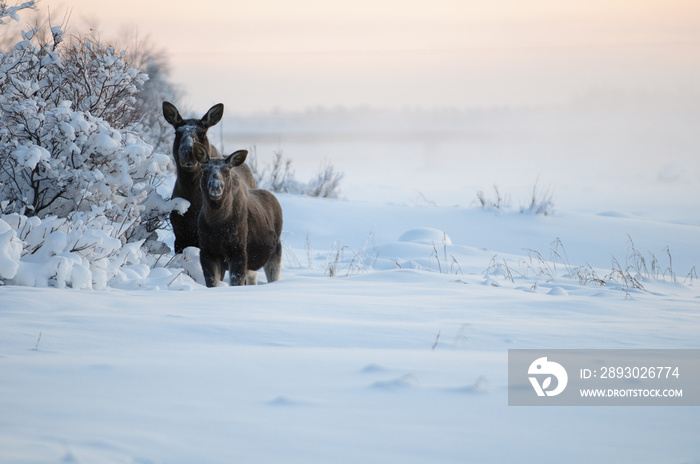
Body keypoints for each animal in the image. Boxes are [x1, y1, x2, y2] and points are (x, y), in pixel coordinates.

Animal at [193, 141, 284, 286]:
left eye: (226, 172)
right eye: (205, 171)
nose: (216, 187)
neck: (217, 223)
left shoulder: (238, 252)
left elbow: (236, 282)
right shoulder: (207, 251)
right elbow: (212, 283)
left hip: (275, 253)